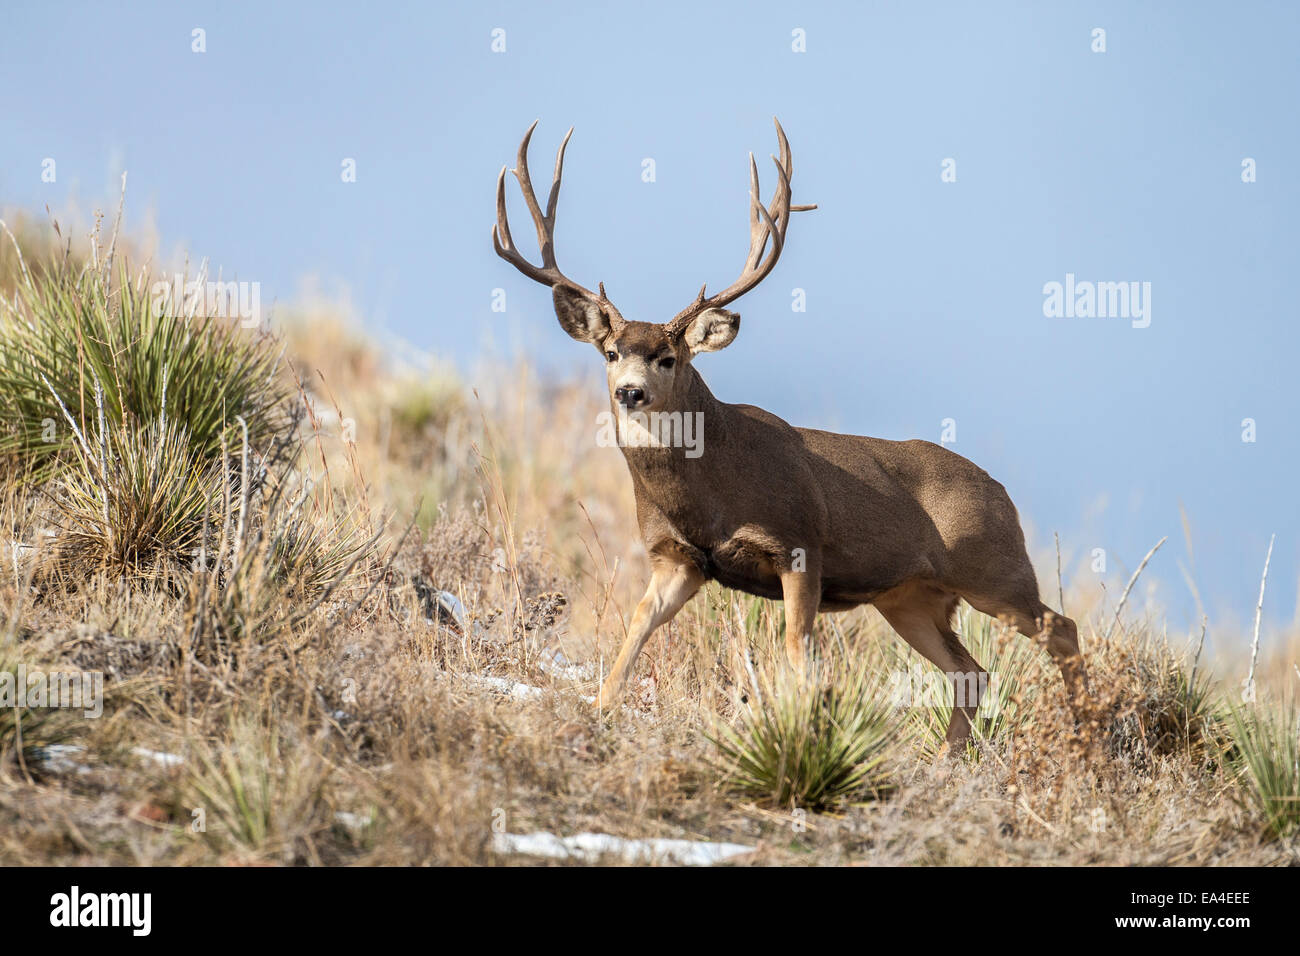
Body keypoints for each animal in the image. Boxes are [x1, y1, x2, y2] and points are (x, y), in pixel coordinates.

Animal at [491, 119, 1081, 749]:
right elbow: (635, 629)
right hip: (911, 598)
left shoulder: (799, 545)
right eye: (610, 353)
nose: (630, 392)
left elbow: (799, 653)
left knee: (1062, 630)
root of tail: (1003, 494)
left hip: (994, 568)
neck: (706, 489)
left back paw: (1090, 735)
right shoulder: (677, 559)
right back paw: (952, 760)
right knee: (971, 670)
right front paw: (599, 710)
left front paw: (804, 734)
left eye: (668, 358)